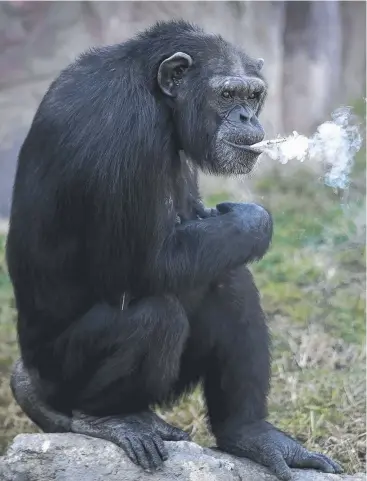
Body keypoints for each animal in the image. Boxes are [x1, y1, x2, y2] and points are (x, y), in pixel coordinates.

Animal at [7, 19, 342, 480]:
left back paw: (251, 434)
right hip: (62, 377)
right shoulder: (129, 130)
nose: (246, 116)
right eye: (227, 95)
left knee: (229, 279)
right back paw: (110, 419)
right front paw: (253, 219)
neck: (157, 95)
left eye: (253, 95)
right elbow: (149, 263)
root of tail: (32, 379)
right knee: (154, 317)